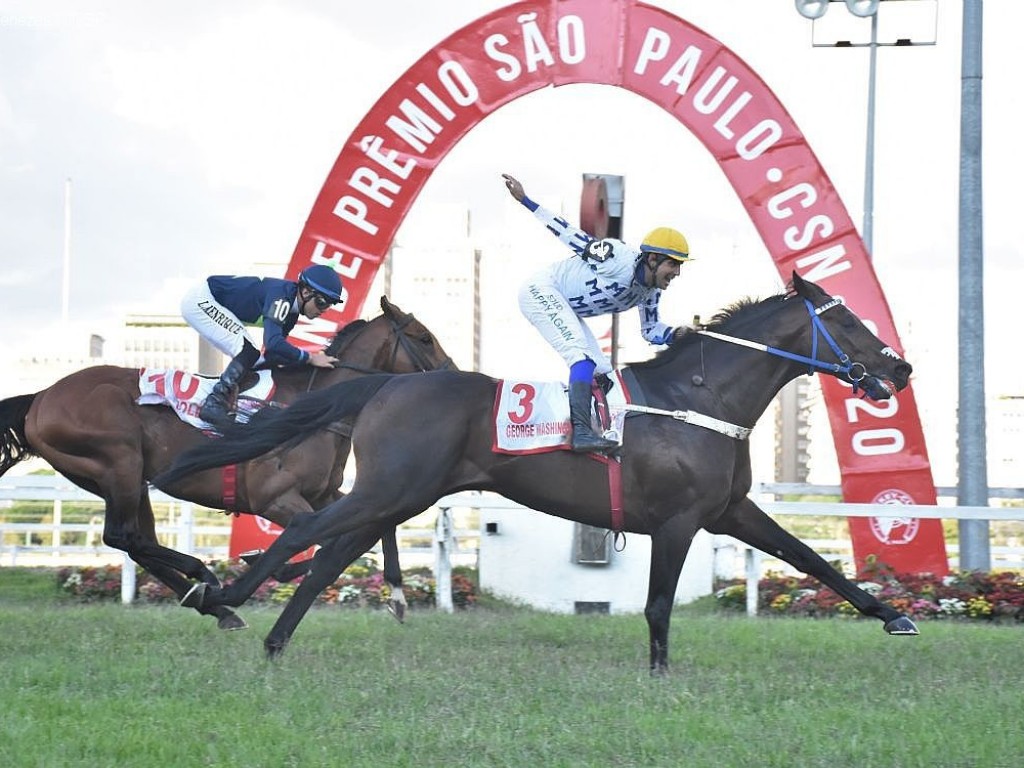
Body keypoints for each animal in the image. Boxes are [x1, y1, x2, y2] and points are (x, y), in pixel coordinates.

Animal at [0, 296, 456, 626]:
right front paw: (270, 567)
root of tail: (40, 398)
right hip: (119, 464)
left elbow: (381, 530)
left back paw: (212, 604)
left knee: (136, 542)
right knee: (121, 536)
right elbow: (324, 541)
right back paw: (203, 576)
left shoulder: (327, 494)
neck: (317, 411)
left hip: (129, 479)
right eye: (424, 337)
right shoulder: (277, 499)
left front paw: (397, 595)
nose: (453, 373)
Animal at [157, 274, 921, 671]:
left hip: (400, 495)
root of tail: (386, 384)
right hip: (391, 488)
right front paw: (659, 672)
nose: (902, 368)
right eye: (848, 322)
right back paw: (217, 594)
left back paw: (272, 636)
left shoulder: (729, 510)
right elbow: (658, 602)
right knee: (305, 536)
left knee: (329, 554)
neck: (700, 397)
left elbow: (810, 559)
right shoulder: (677, 520)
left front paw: (892, 616)